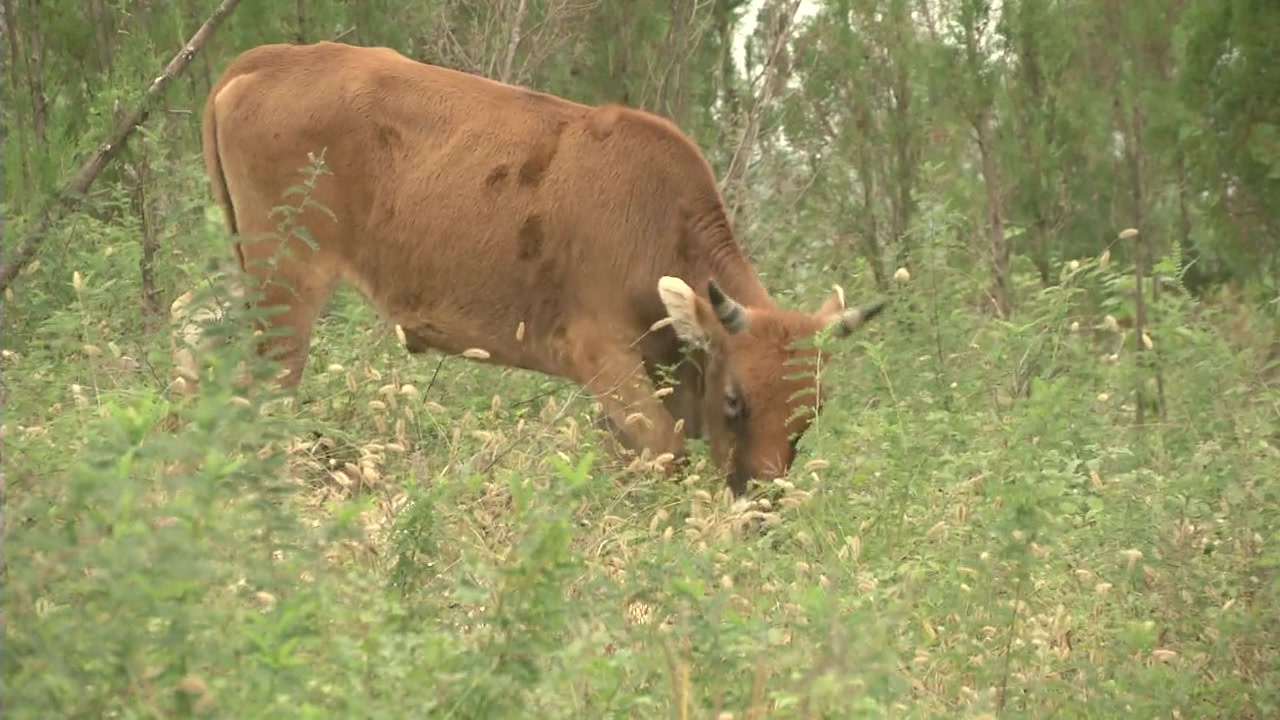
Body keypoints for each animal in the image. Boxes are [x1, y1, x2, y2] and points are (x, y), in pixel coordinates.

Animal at [197, 41, 890, 497]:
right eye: (734, 399)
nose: (762, 502)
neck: (659, 223)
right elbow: (666, 454)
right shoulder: (600, 355)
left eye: (812, 409)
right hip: (287, 285)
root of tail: (268, 58)